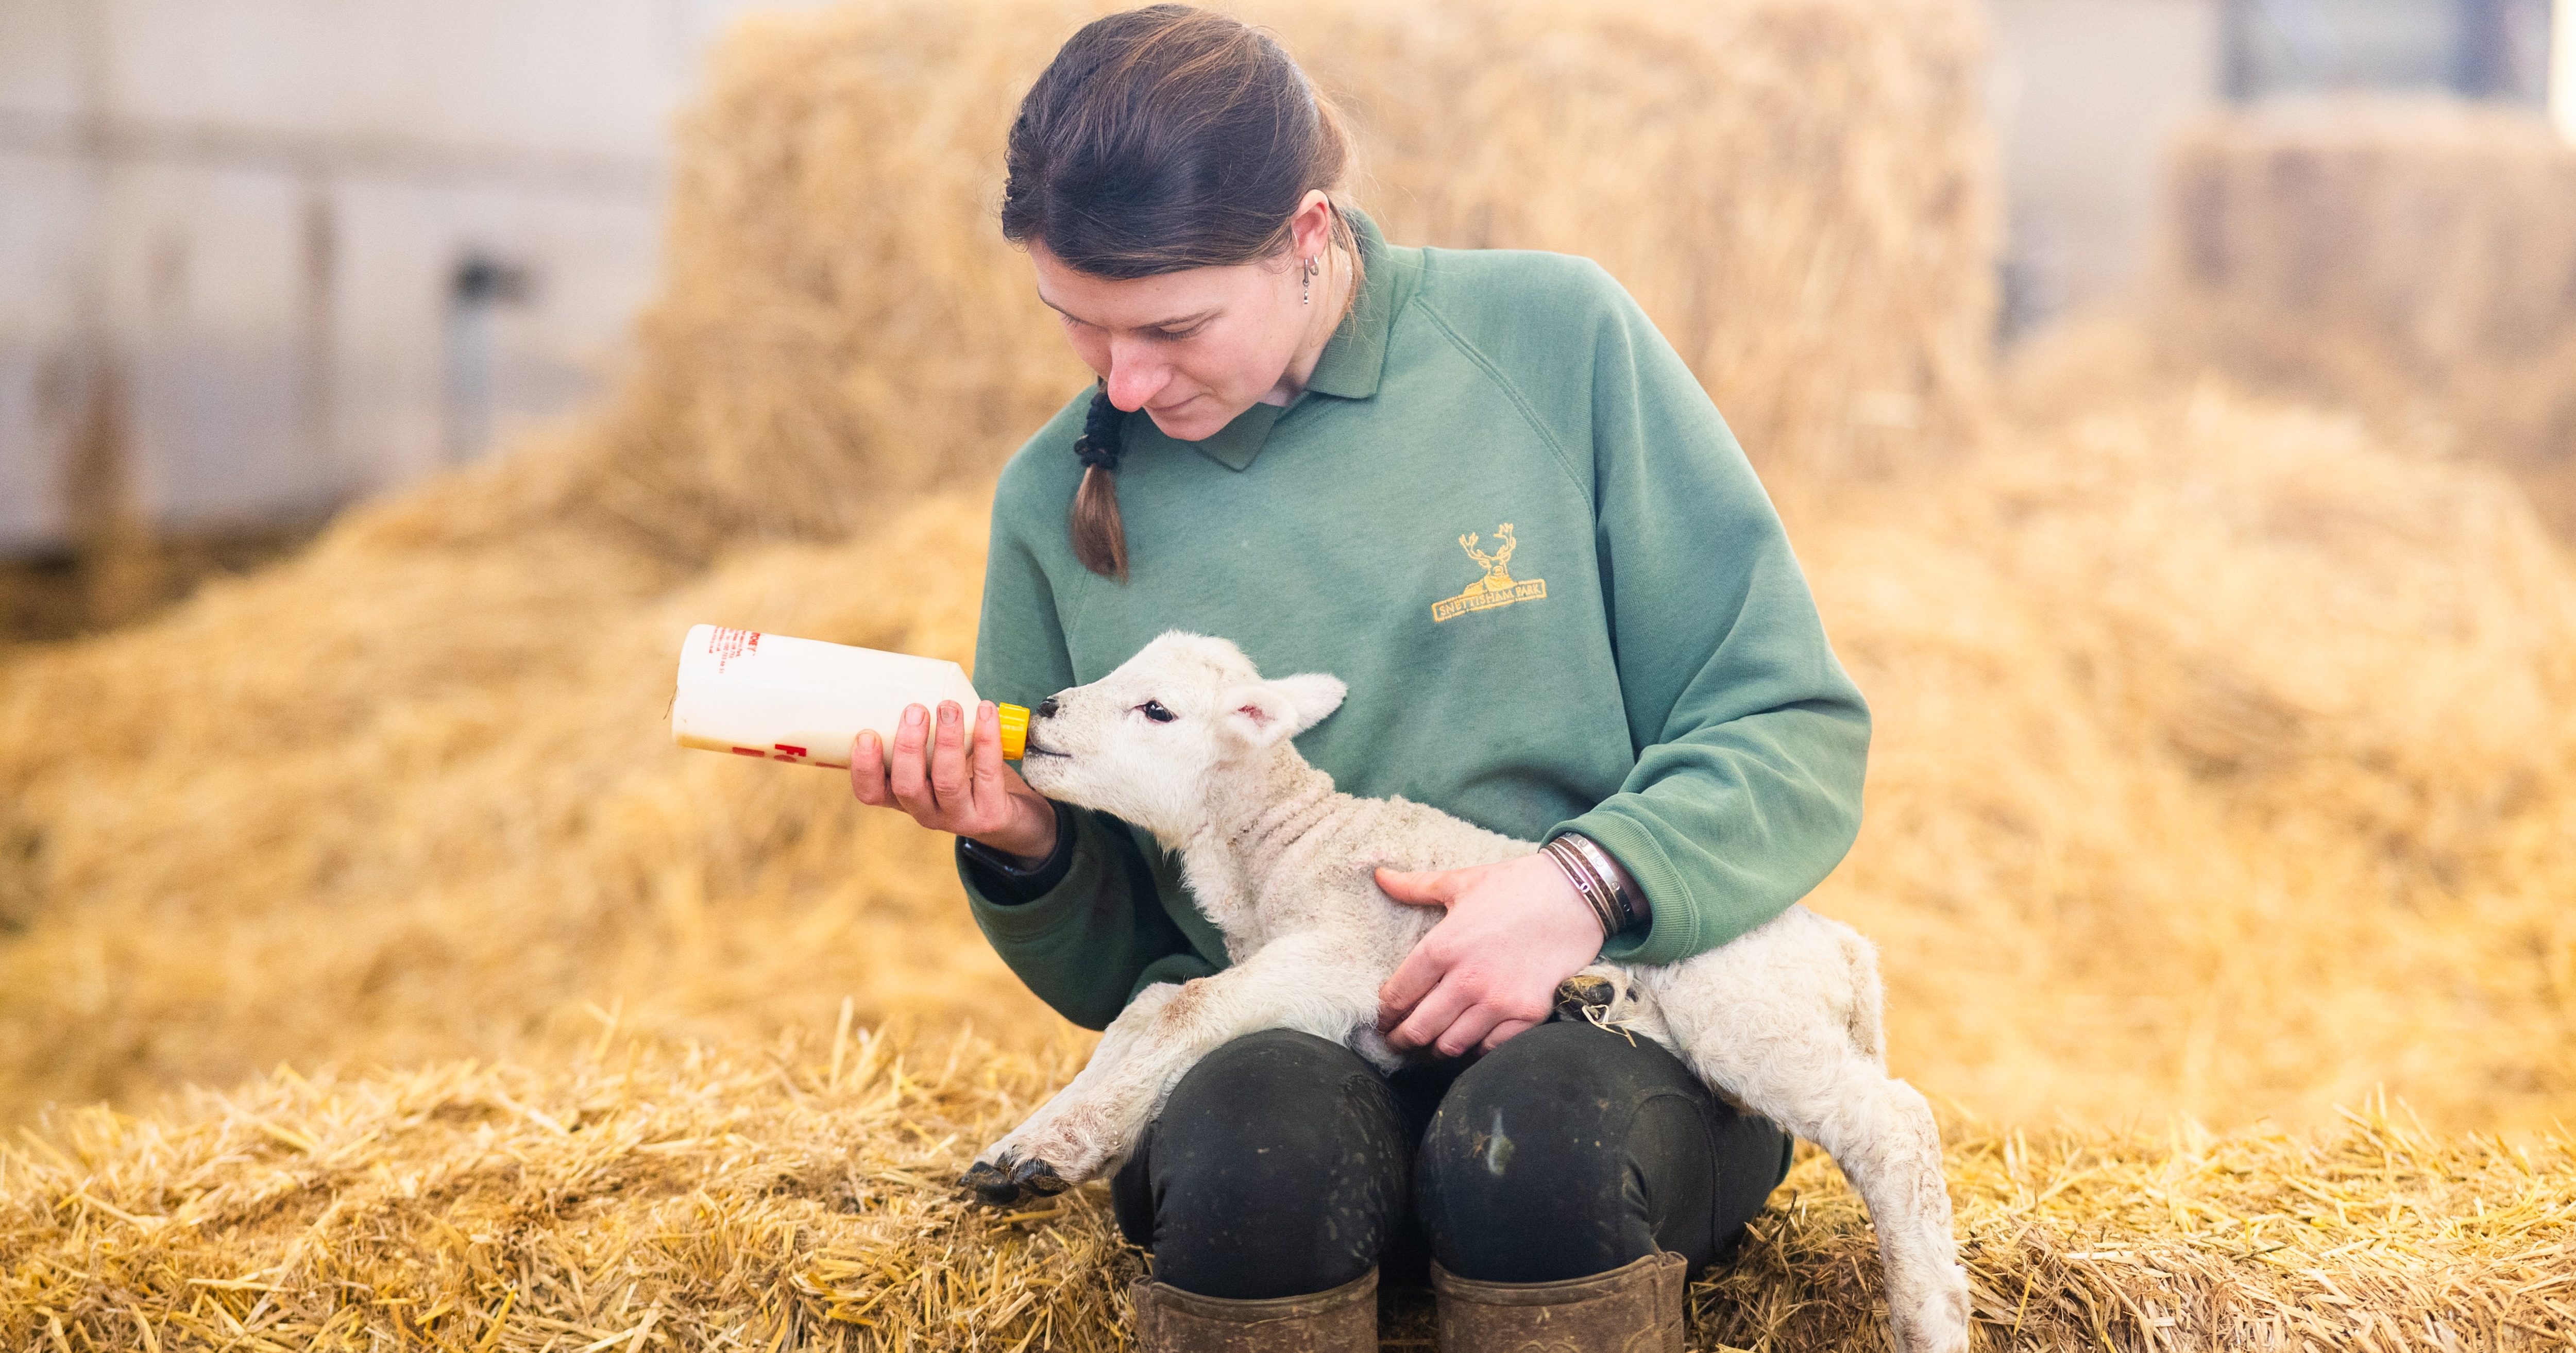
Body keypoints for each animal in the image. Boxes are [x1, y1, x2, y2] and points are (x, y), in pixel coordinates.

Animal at [959, 631, 1971, 1353]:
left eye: (1157, 710)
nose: (1043, 708)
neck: (1281, 844)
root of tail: (1843, 950)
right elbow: (1144, 1010)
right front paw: (1023, 1149)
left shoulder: (1340, 953)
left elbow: (1186, 1008)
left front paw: (1060, 1141)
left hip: (1749, 1018)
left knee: (1894, 1124)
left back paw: (1932, 1318)